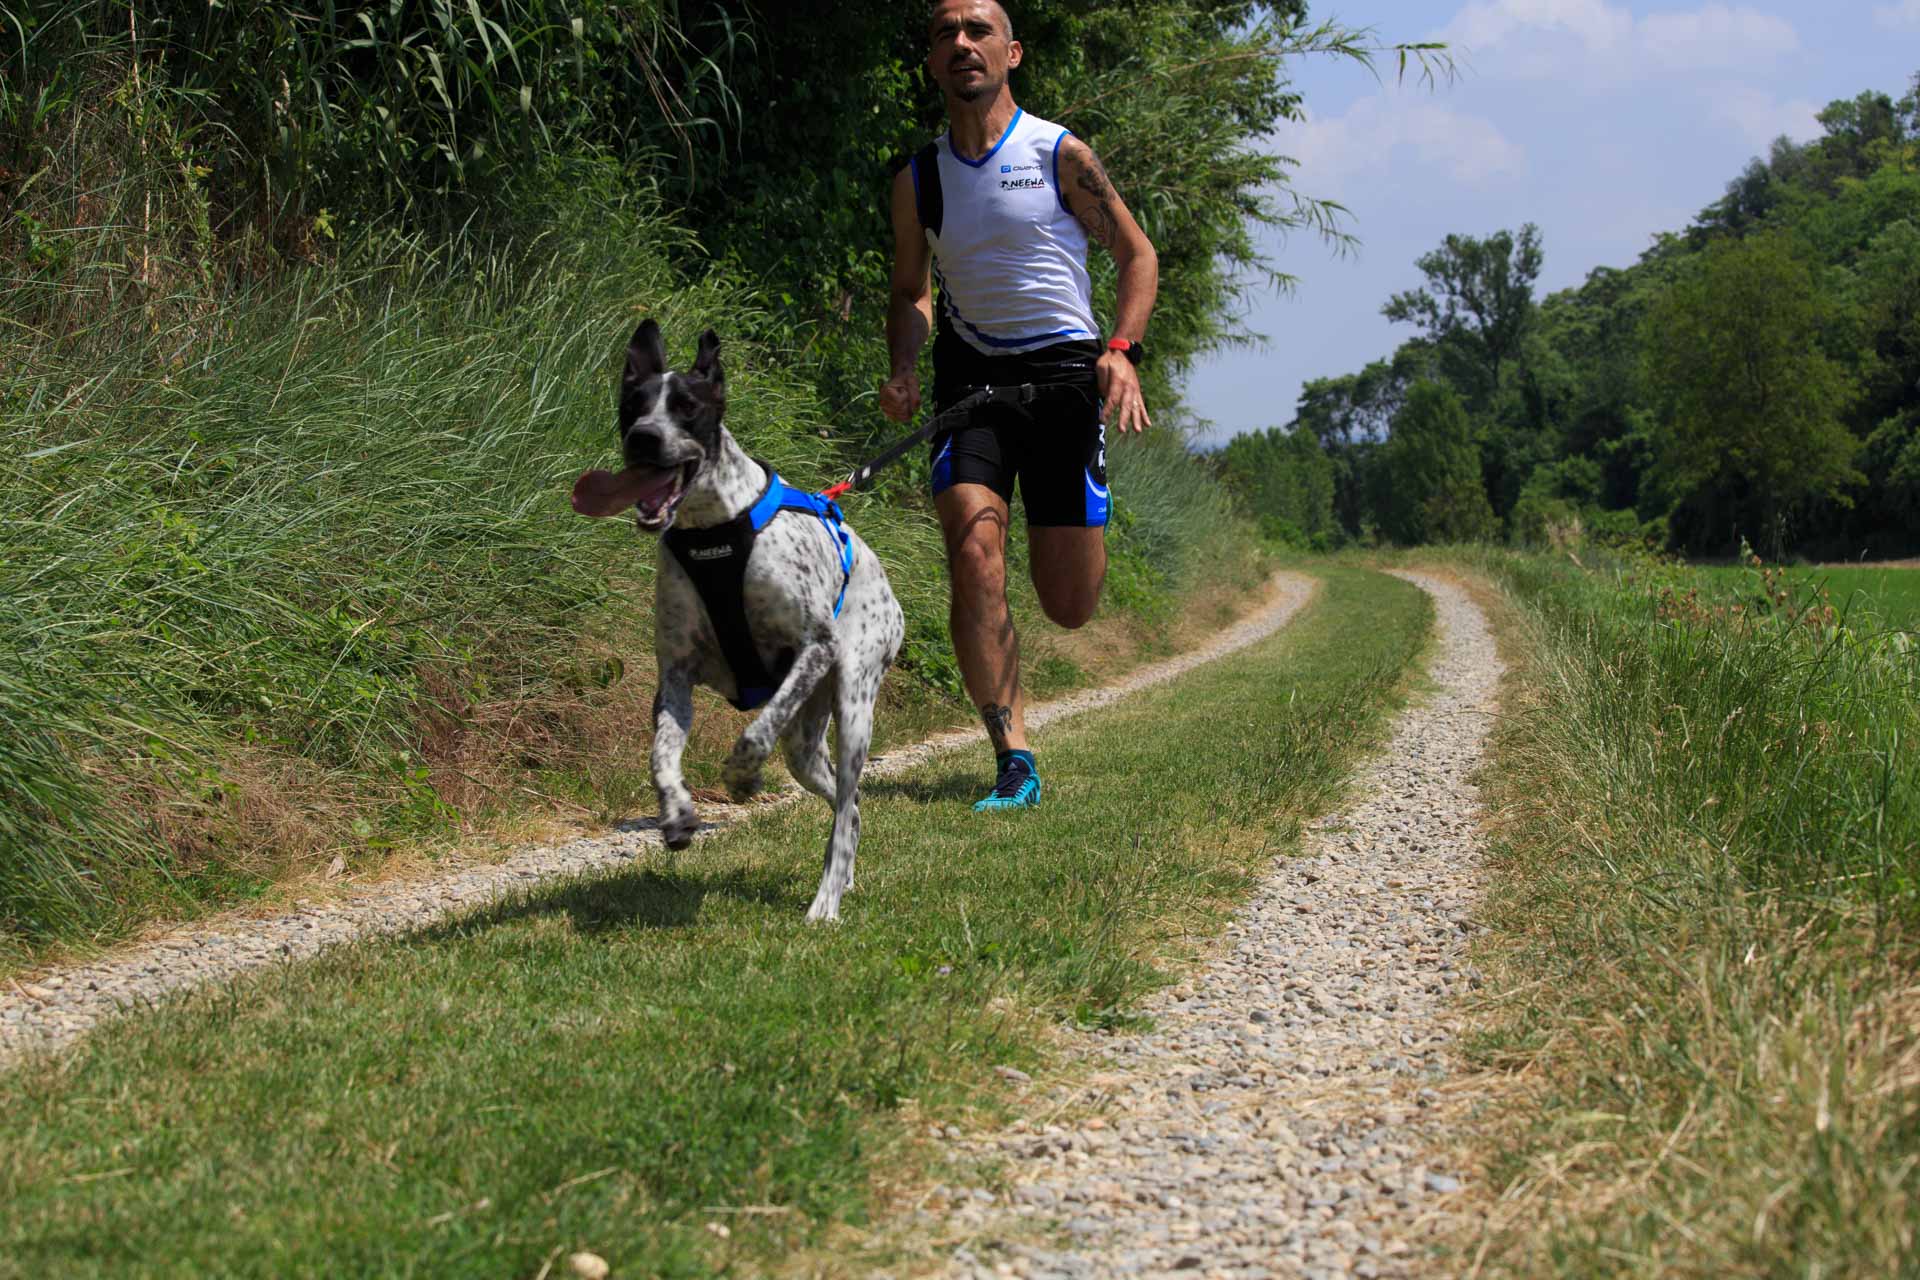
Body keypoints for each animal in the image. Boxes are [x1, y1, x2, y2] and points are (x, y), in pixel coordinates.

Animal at [568, 320, 906, 921]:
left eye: (687, 407)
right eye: (632, 406)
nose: (643, 438)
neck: (713, 528)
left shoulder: (812, 649)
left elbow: (755, 730)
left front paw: (742, 777)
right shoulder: (675, 676)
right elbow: (661, 756)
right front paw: (677, 814)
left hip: (853, 703)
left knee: (844, 805)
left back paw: (825, 902)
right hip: (805, 749)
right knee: (849, 805)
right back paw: (843, 880)